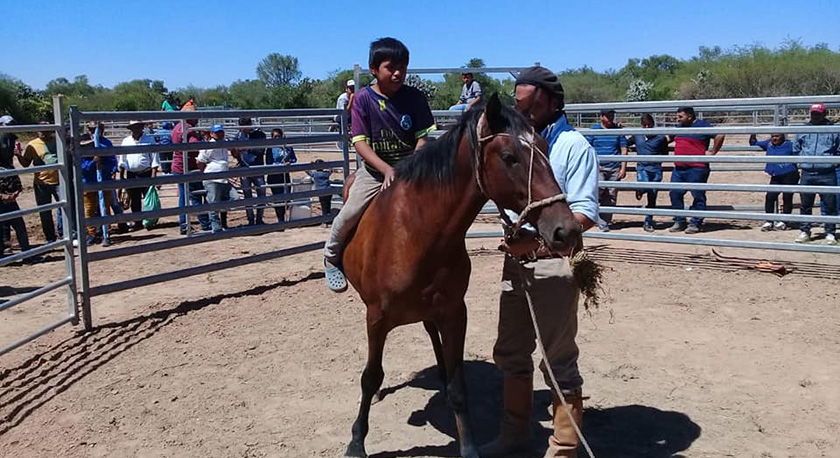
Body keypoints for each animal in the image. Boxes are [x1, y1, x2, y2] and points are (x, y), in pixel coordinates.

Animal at [340, 93, 581, 458]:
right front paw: (356, 442)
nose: (565, 230)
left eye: (543, 146)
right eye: (509, 157)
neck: (416, 231)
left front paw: (468, 446)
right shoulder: (377, 316)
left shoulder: (454, 312)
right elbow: (370, 377)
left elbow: (457, 386)